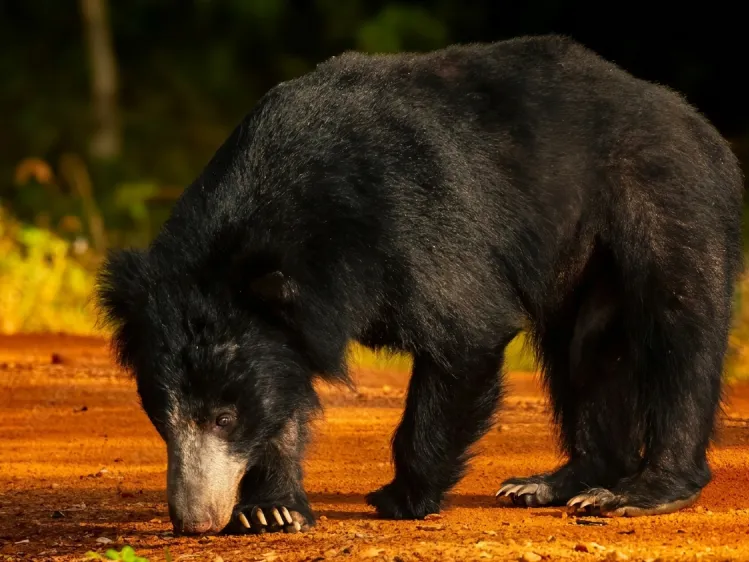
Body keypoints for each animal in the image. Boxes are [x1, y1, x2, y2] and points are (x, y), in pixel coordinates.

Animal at [96, 34, 744, 535]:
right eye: (161, 416)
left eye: (223, 419)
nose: (193, 521)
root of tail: (691, 117)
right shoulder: (287, 322)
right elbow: (283, 389)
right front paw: (269, 510)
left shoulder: (409, 221)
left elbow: (465, 332)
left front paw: (401, 497)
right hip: (583, 256)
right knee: (585, 352)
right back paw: (555, 483)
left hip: (663, 196)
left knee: (680, 329)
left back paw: (644, 490)